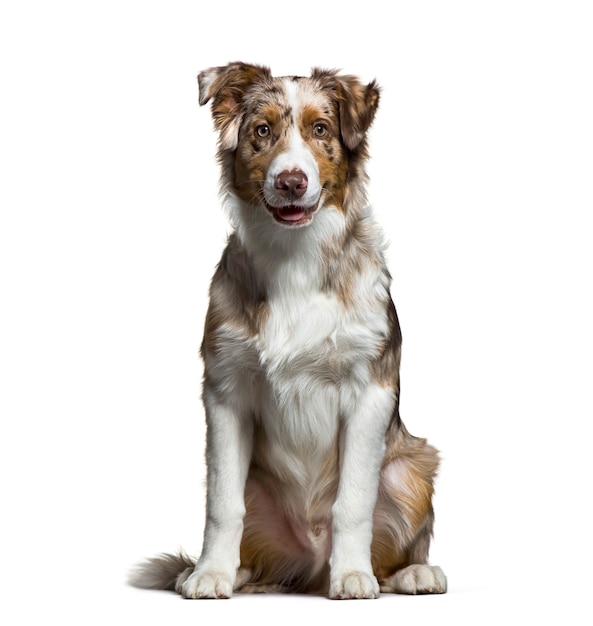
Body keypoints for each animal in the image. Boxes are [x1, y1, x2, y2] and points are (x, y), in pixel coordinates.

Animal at [130, 63, 444, 600]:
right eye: (262, 131)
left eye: (321, 129)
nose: (292, 182)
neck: (294, 257)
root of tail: (309, 568)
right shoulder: (226, 391)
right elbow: (222, 504)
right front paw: (211, 574)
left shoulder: (370, 390)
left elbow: (352, 502)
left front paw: (353, 575)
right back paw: (226, 572)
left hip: (414, 464)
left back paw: (411, 573)